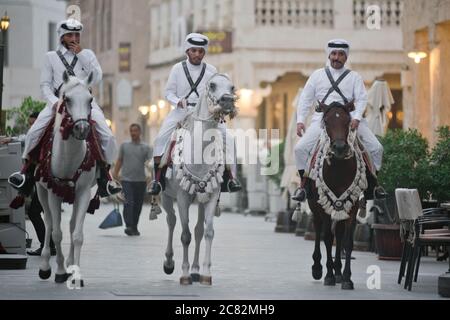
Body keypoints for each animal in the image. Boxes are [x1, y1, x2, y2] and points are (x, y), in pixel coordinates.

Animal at [35, 70, 98, 284]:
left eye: (90, 99)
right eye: (67, 99)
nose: (82, 128)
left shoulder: (84, 193)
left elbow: (77, 234)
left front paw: (75, 273)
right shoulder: (54, 192)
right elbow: (57, 233)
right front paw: (60, 271)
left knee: (70, 225)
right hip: (41, 191)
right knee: (48, 223)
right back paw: (45, 266)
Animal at [159, 73, 237, 284]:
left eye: (232, 87)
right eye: (212, 85)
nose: (228, 101)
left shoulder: (211, 195)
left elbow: (207, 232)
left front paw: (205, 273)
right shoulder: (182, 197)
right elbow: (185, 235)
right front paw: (184, 274)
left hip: (200, 198)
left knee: (198, 231)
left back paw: (195, 270)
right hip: (166, 197)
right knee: (171, 221)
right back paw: (169, 263)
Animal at [308, 100, 368, 290]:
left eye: (348, 121)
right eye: (326, 121)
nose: (340, 148)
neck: (339, 169)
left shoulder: (352, 207)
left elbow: (347, 242)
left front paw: (346, 277)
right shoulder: (324, 207)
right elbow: (327, 237)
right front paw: (328, 275)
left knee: (339, 234)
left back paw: (339, 272)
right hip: (315, 206)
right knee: (318, 229)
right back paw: (318, 267)